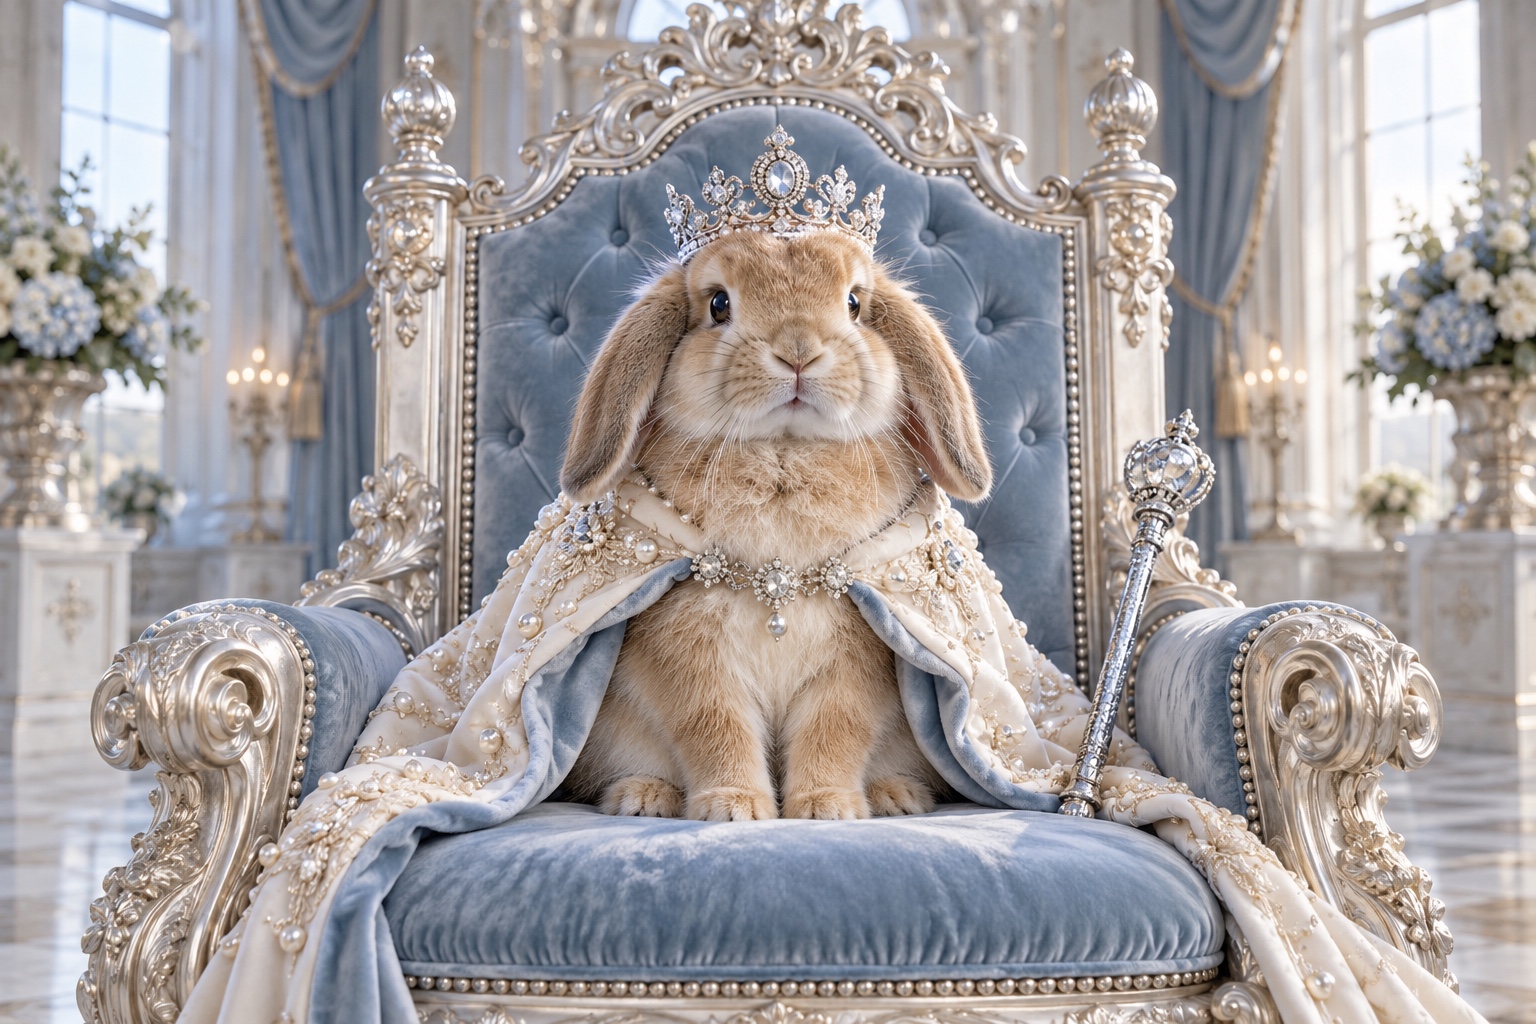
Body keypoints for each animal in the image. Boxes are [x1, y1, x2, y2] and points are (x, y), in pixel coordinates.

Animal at [558, 228, 992, 821]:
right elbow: (713, 726)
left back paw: (895, 796)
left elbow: (837, 728)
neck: (785, 450)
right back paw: (645, 796)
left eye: (854, 303)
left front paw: (826, 807)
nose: (798, 353)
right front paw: (734, 807)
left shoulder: (857, 664)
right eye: (719, 303)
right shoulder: (690, 661)